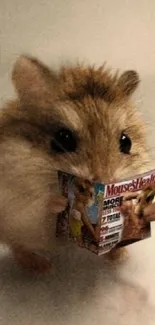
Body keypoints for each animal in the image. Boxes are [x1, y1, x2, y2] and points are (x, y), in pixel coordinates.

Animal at [0, 55, 151, 270]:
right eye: (63, 139)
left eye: (126, 142)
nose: (105, 180)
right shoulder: (18, 199)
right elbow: (43, 204)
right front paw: (61, 201)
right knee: (18, 246)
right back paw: (41, 267)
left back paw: (119, 256)